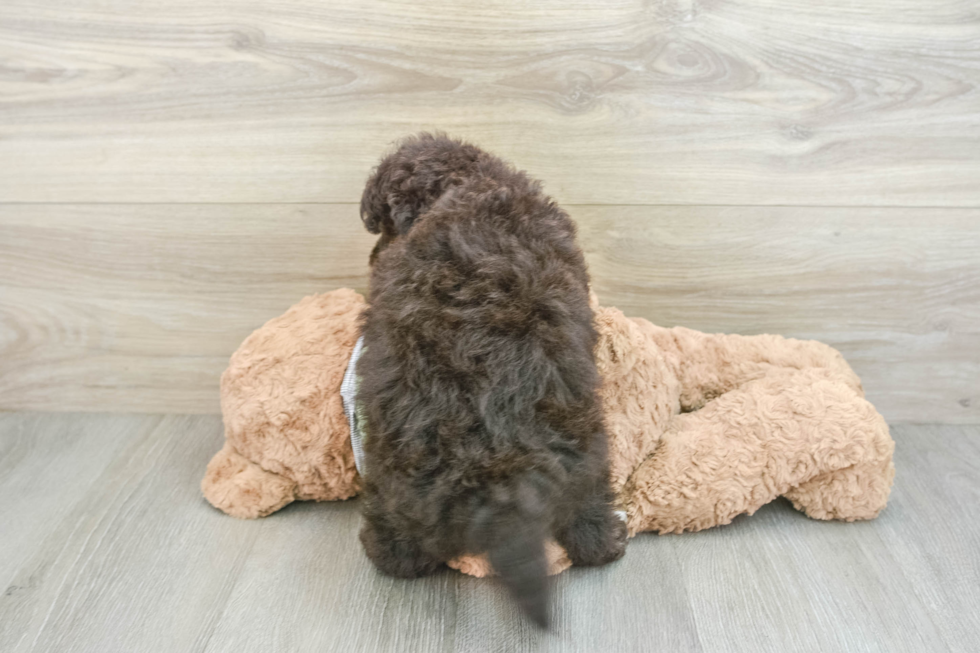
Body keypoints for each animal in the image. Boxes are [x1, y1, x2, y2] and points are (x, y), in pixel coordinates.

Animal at [356, 132, 624, 628]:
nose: (373, 257)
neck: (469, 181)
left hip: (391, 464)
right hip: (586, 440)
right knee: (588, 503)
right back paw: (607, 538)